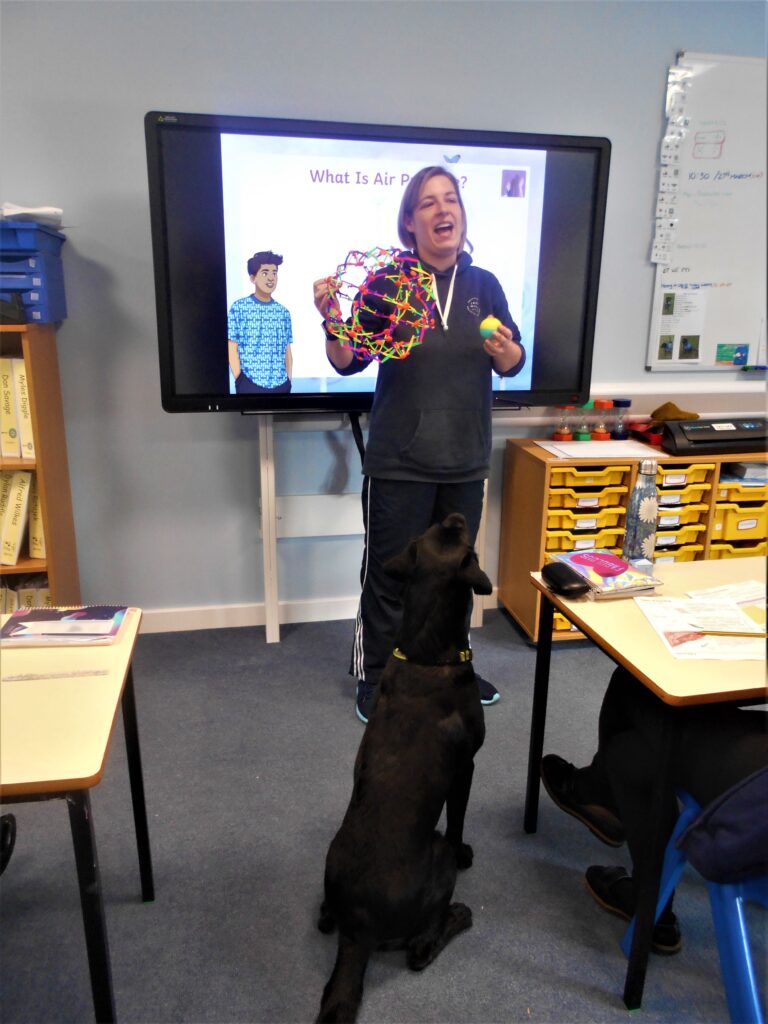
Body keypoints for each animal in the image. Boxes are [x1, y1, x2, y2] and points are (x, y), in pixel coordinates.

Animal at [317, 516, 493, 1019]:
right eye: (468, 548)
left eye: (427, 535)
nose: (454, 516)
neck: (424, 653)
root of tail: (358, 931)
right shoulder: (467, 766)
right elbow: (458, 818)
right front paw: (466, 848)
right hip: (435, 861)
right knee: (419, 950)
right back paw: (458, 916)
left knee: (323, 920)